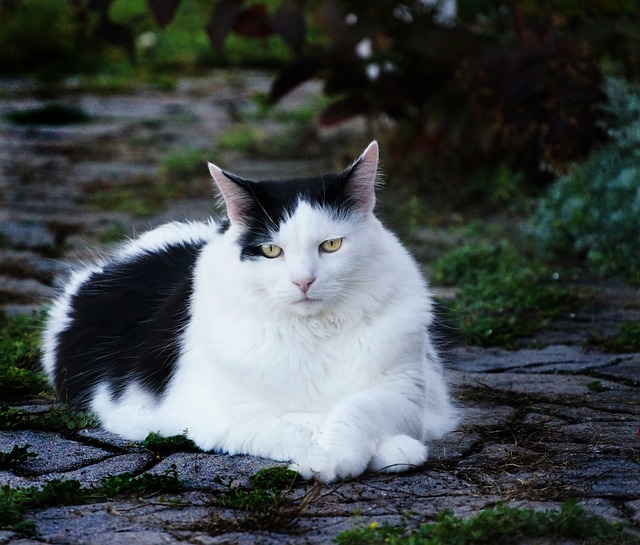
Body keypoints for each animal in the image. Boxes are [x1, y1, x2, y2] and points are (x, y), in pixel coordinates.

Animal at [40, 140, 458, 480]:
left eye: (331, 245)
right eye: (272, 250)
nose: (303, 281)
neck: (313, 332)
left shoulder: (403, 391)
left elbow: (354, 412)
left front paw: (382, 450)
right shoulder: (227, 414)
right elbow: (306, 425)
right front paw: (332, 460)